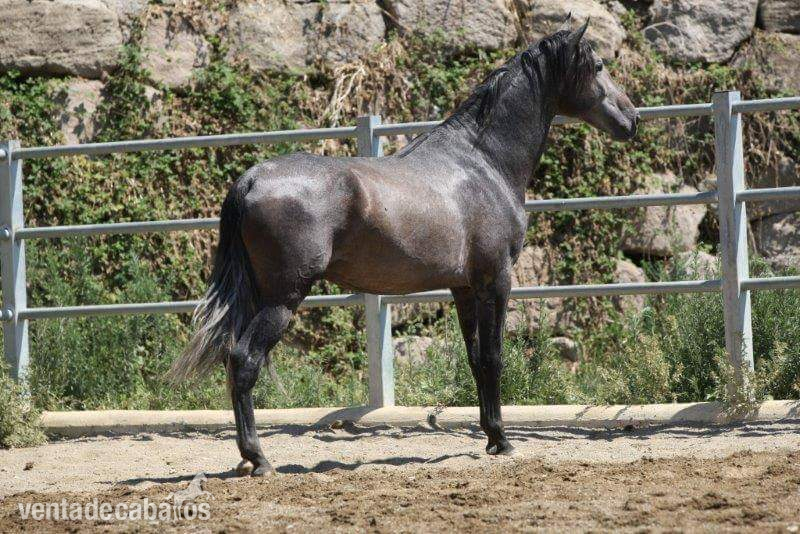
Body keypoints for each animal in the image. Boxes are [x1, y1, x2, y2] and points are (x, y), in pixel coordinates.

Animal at [170, 18, 639, 476]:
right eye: (599, 66)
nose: (632, 118)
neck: (482, 164)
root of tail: (251, 180)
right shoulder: (496, 282)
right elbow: (493, 358)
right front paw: (503, 441)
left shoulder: (464, 289)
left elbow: (474, 359)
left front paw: (490, 436)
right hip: (283, 299)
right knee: (244, 360)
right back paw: (259, 459)